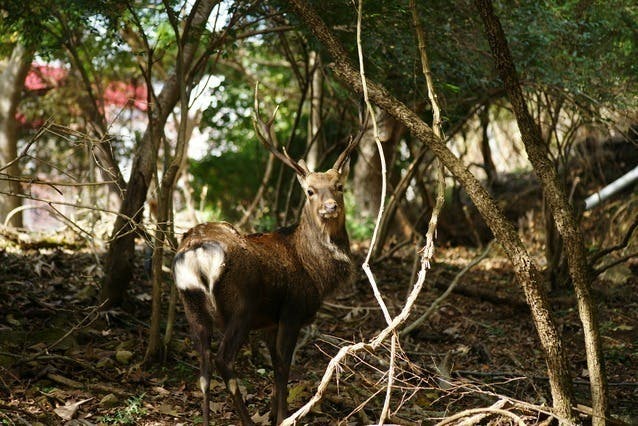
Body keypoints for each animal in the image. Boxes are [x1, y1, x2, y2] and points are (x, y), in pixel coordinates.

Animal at [172, 97, 358, 426]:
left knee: (203, 369)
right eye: (310, 191)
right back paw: (246, 420)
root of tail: (196, 252)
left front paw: (272, 413)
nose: (330, 207)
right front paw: (283, 417)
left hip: (191, 305)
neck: (315, 271)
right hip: (241, 305)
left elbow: (274, 365)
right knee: (223, 360)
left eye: (339, 186)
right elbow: (284, 366)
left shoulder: (270, 321)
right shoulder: (292, 310)